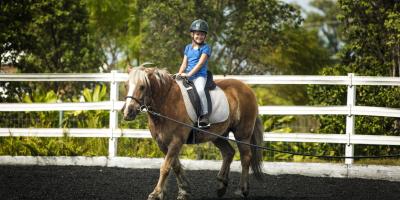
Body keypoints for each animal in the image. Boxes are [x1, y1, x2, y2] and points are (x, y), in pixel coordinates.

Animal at [123, 67, 264, 198]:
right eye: (126, 85)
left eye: (142, 87)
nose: (128, 112)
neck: (167, 102)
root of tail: (247, 88)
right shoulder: (162, 143)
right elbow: (175, 166)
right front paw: (184, 191)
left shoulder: (176, 141)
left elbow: (165, 167)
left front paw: (156, 193)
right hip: (217, 136)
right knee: (228, 153)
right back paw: (221, 185)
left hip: (242, 134)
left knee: (245, 157)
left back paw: (242, 189)